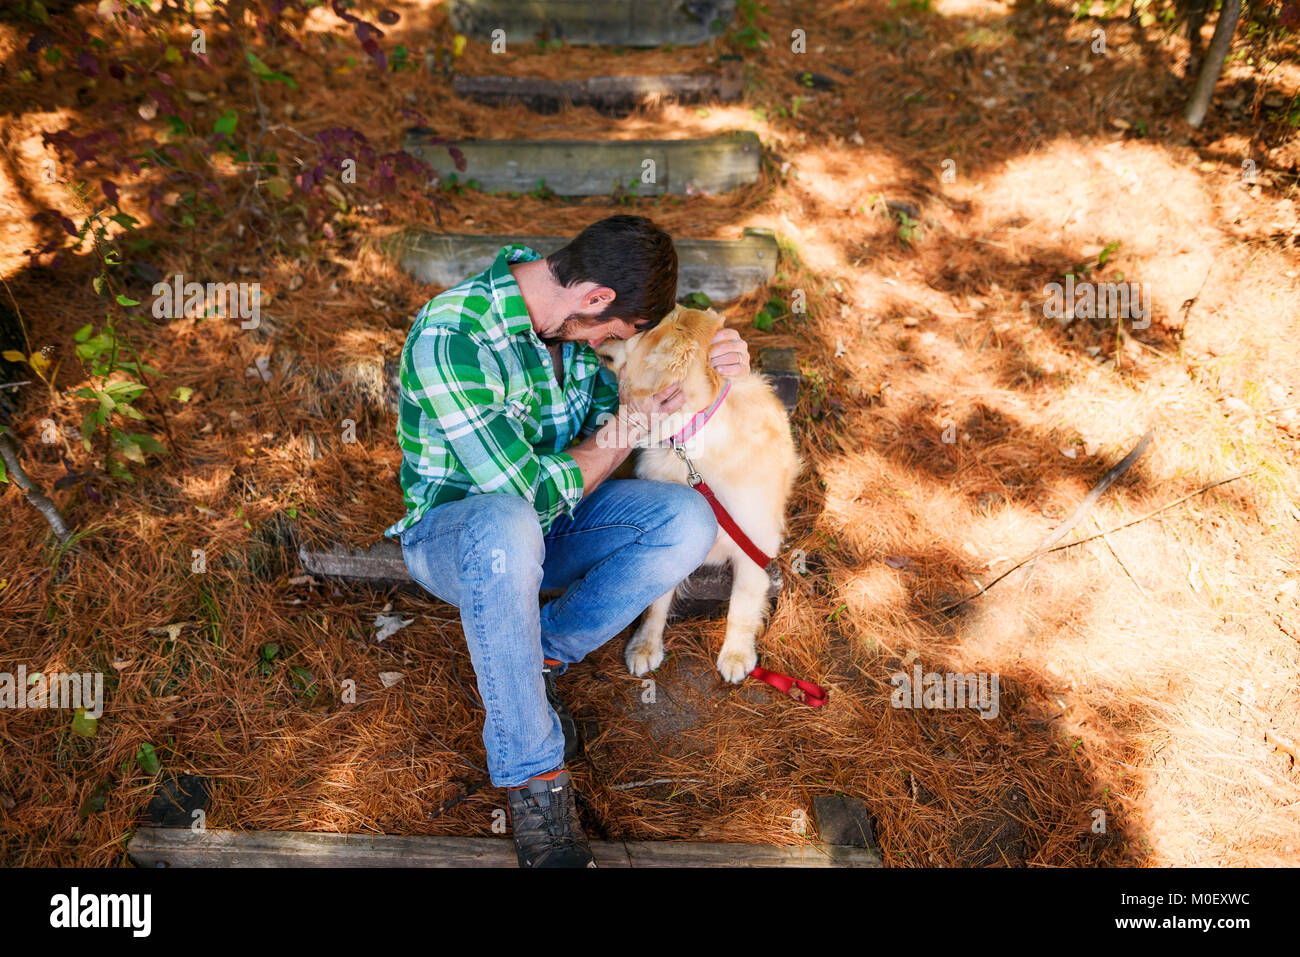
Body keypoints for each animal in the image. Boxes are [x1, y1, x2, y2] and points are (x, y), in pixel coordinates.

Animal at [595, 306, 795, 681]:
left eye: (638, 328)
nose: (599, 334)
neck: (689, 438)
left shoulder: (755, 541)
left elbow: (743, 603)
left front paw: (736, 654)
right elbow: (655, 603)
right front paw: (646, 646)